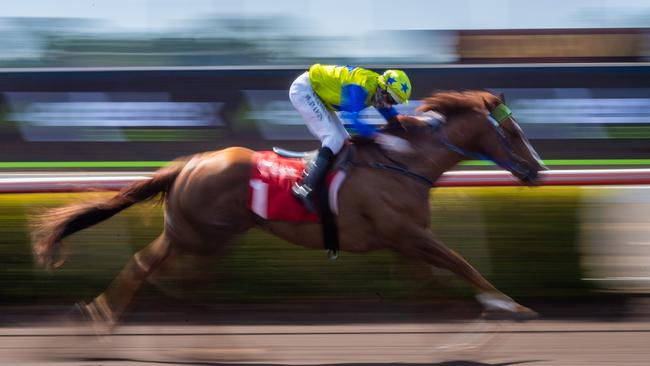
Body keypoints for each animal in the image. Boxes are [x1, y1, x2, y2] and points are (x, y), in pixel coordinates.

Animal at [33, 91, 544, 328]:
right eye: (512, 132)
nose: (537, 170)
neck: (404, 163)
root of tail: (190, 162)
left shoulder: (405, 243)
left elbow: (430, 281)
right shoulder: (407, 234)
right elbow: (461, 262)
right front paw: (508, 304)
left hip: (211, 236)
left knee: (176, 275)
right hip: (195, 233)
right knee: (146, 265)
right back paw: (103, 316)